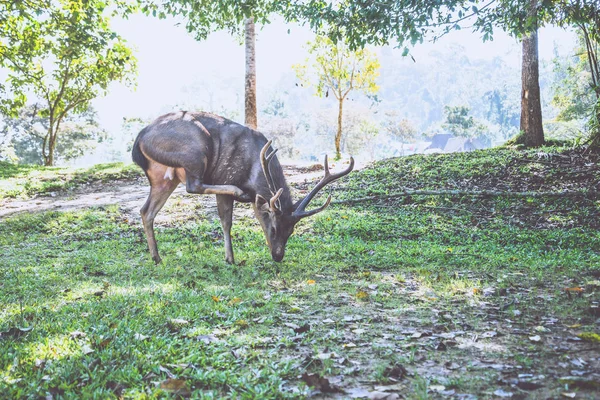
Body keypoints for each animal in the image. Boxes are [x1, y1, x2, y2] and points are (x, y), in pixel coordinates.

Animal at [131, 111, 352, 264]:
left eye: (291, 231)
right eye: (274, 228)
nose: (278, 256)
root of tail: (139, 139)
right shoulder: (225, 174)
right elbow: (226, 221)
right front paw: (230, 258)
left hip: (164, 178)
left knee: (146, 210)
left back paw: (156, 257)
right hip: (194, 150)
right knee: (193, 185)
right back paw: (240, 192)